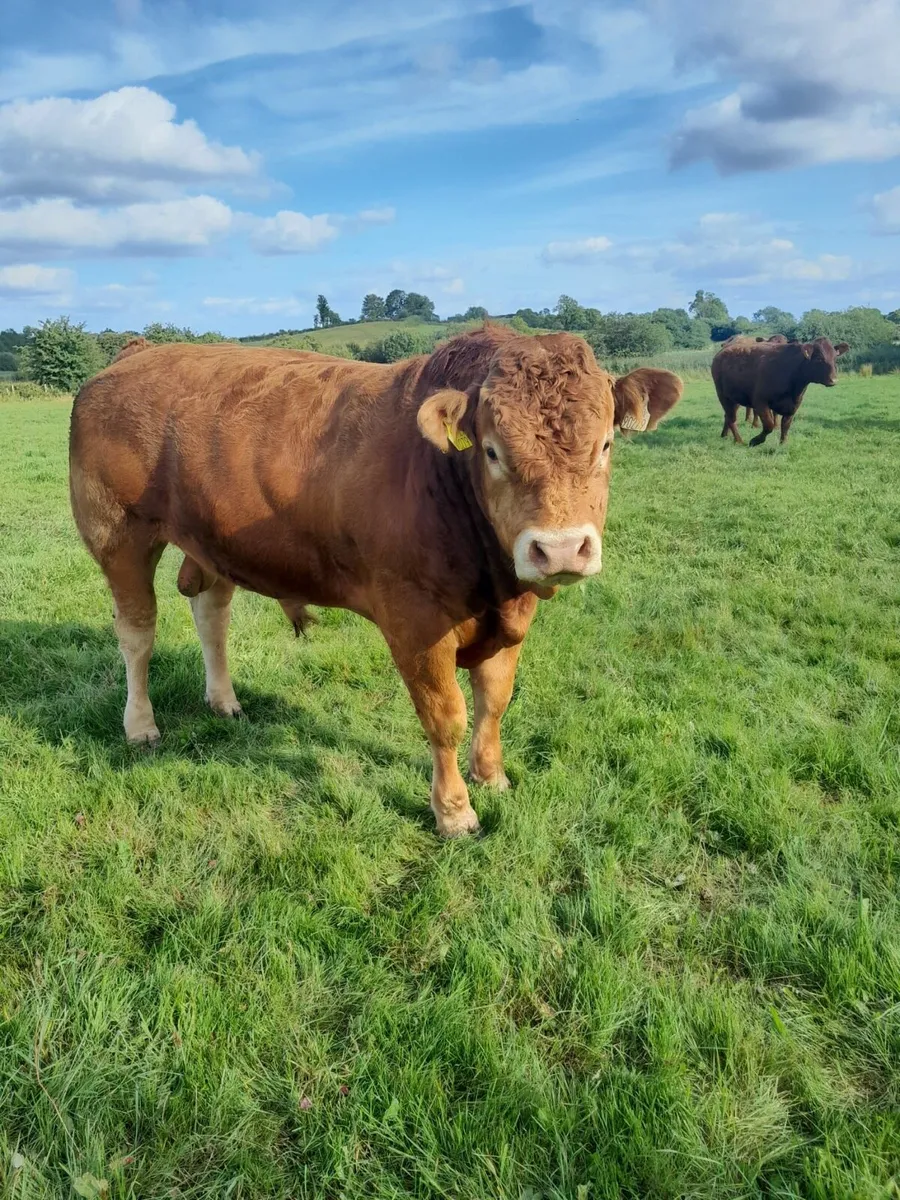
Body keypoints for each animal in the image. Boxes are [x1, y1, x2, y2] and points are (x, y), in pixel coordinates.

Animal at [69, 325, 680, 837]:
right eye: (491, 450)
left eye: (606, 445)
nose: (559, 549)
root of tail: (139, 352)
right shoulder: (416, 622)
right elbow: (446, 715)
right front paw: (454, 811)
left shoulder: (509, 616)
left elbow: (496, 699)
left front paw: (492, 776)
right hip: (118, 535)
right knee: (137, 633)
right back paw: (141, 726)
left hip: (213, 541)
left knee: (211, 613)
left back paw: (224, 701)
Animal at [713, 336, 849, 446]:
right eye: (819, 358)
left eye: (835, 358)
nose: (833, 380)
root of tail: (723, 351)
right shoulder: (760, 401)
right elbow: (769, 425)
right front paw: (755, 441)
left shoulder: (794, 405)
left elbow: (786, 425)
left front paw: (783, 444)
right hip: (723, 395)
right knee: (732, 419)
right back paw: (739, 440)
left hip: (735, 398)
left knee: (728, 416)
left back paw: (725, 435)